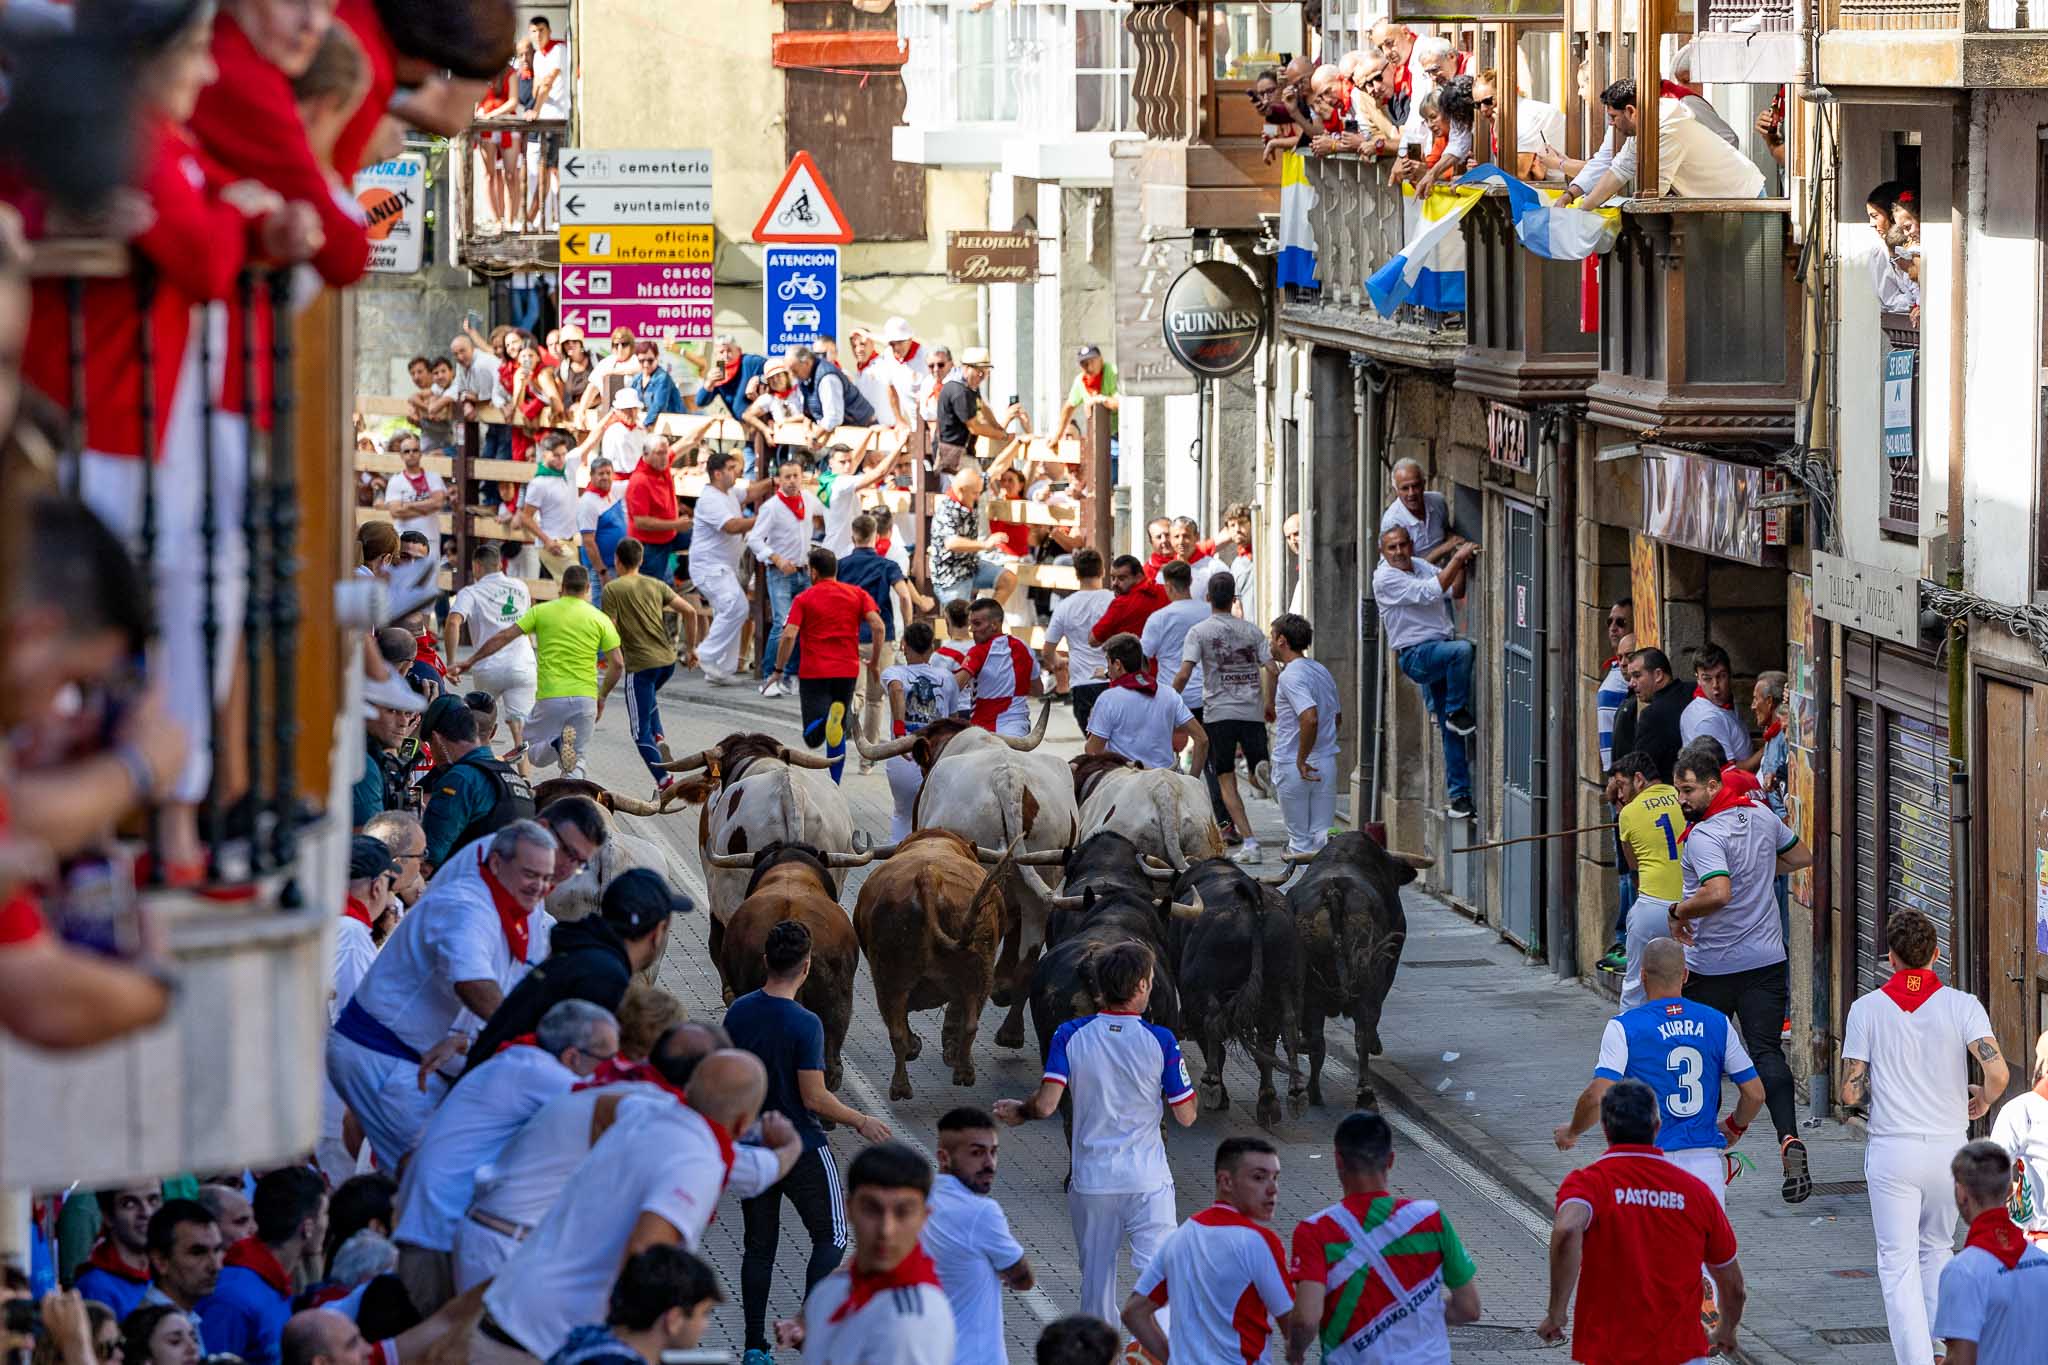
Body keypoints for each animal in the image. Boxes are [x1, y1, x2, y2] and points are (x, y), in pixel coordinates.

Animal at [847, 834, 1015, 1096]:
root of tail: (929, 876)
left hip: (891, 978)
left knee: (898, 1030)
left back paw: (905, 1084)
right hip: (978, 974)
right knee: (967, 1023)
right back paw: (959, 1072)